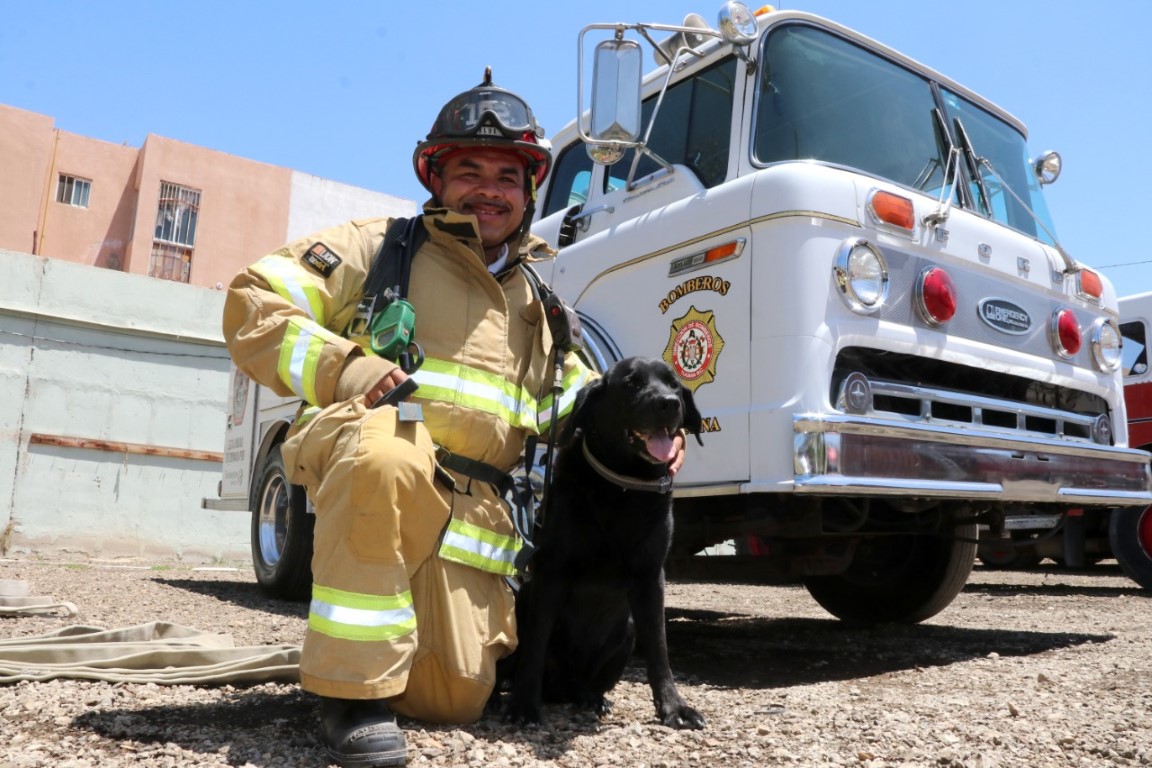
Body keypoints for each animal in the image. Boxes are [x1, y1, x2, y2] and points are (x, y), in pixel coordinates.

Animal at [502, 356, 705, 732]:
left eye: (673, 383)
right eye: (631, 384)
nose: (669, 403)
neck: (622, 486)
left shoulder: (651, 576)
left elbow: (659, 649)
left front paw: (674, 707)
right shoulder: (552, 572)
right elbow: (536, 644)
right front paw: (523, 705)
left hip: (626, 632)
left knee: (582, 686)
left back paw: (591, 698)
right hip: (522, 602)